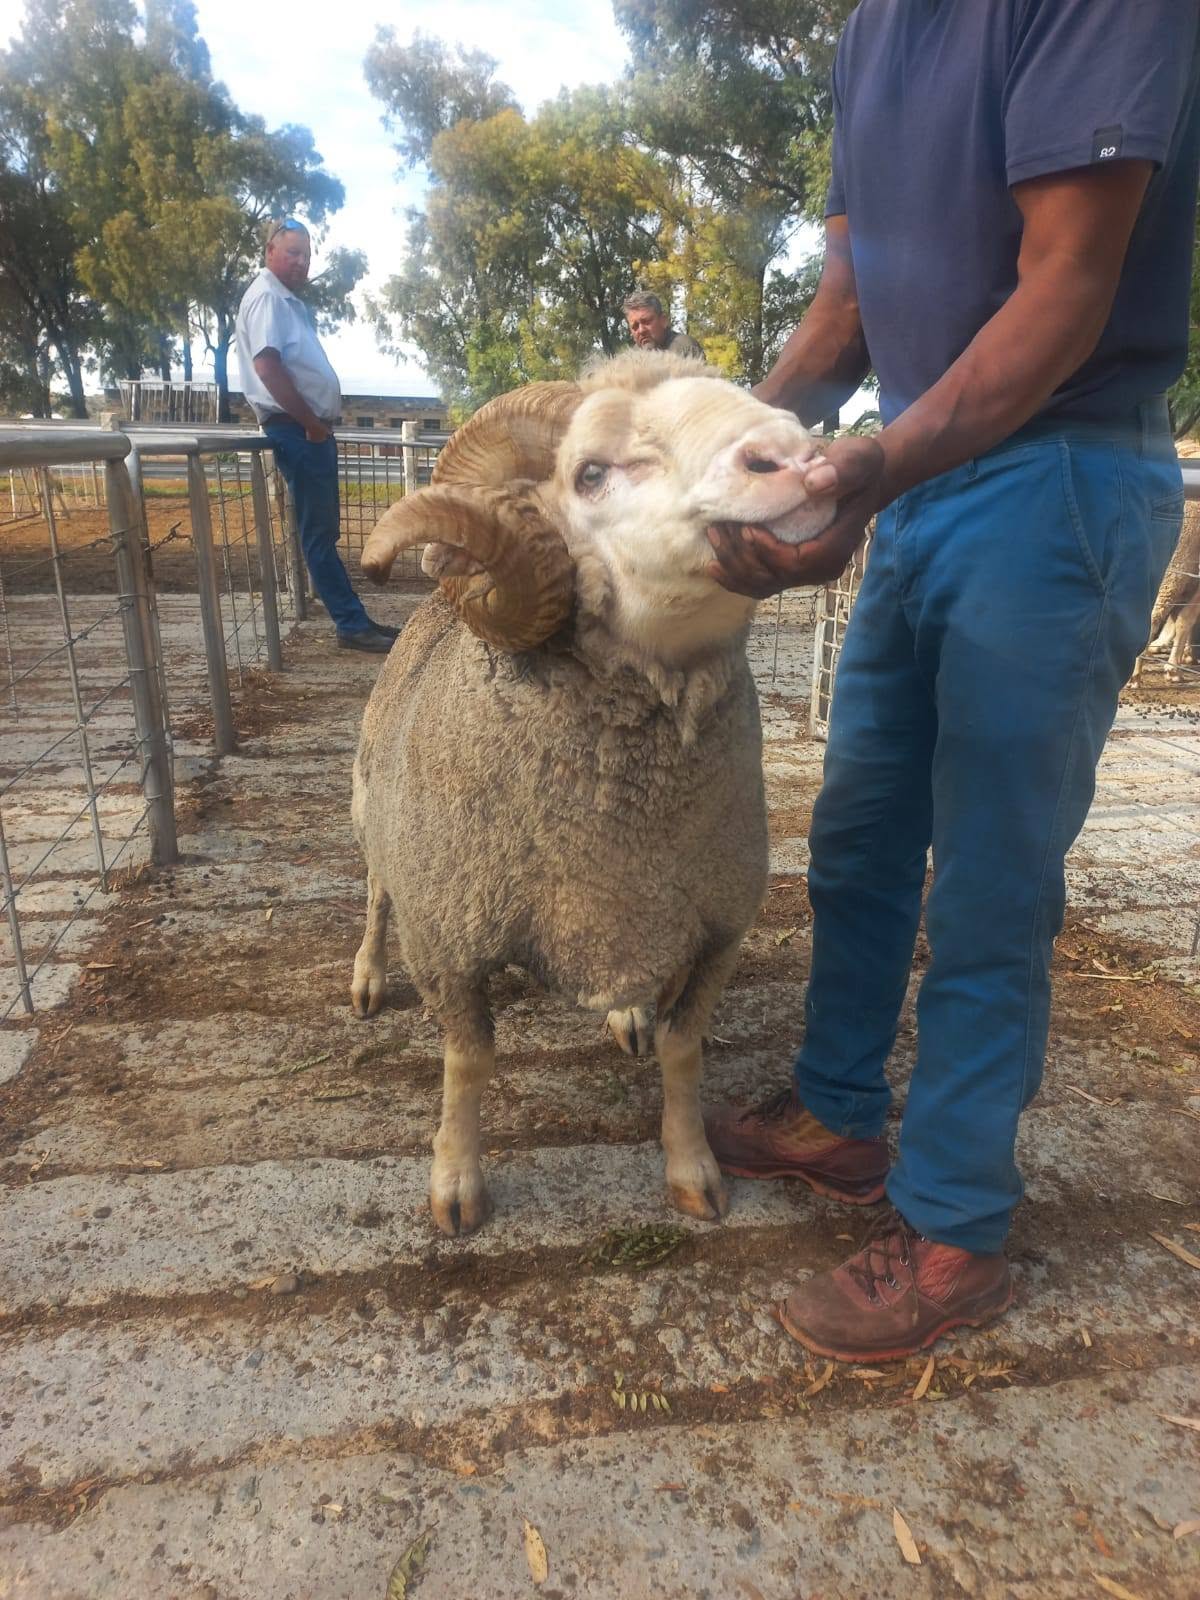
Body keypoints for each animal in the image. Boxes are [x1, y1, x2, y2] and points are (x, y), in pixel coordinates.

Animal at [349, 351, 833, 1236]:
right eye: (591, 473)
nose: (796, 457)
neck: (614, 845)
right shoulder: (448, 937)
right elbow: (468, 1062)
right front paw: (457, 1184)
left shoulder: (717, 929)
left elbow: (684, 1051)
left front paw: (693, 1169)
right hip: (375, 814)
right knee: (374, 891)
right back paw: (366, 974)